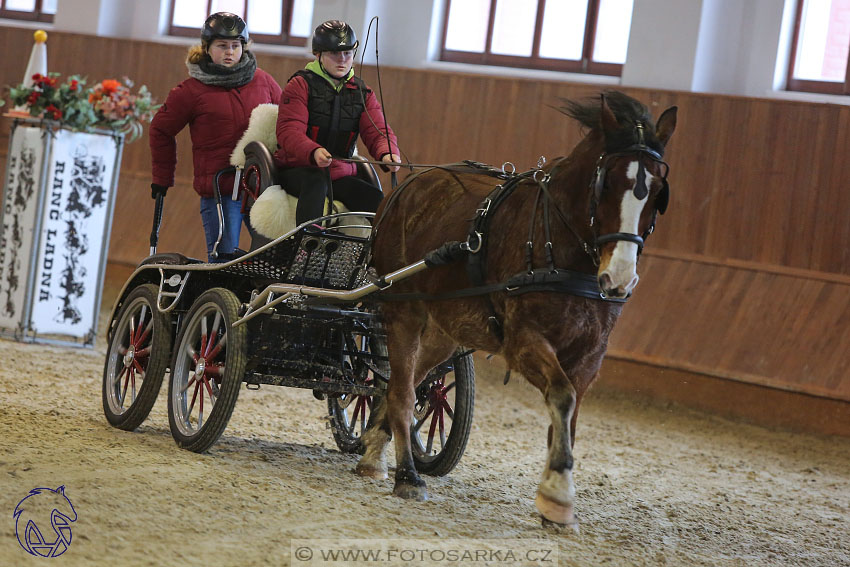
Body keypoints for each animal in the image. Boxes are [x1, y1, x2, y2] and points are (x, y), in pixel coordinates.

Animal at [356, 92, 676, 528]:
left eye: (658, 191)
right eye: (607, 182)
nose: (621, 277)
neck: (562, 248)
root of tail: (405, 187)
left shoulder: (591, 354)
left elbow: (570, 419)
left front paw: (557, 498)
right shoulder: (525, 341)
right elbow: (562, 397)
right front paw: (557, 493)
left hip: (445, 328)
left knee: (407, 384)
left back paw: (373, 451)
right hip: (403, 311)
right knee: (403, 391)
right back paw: (407, 475)